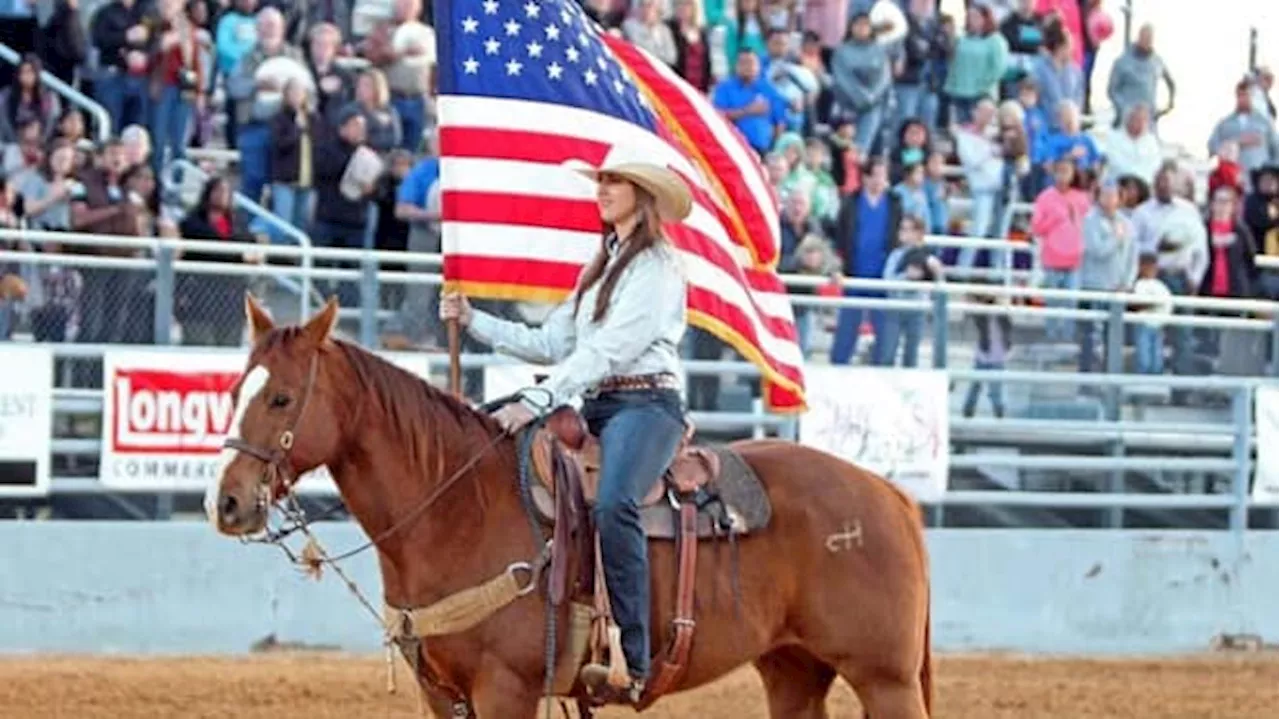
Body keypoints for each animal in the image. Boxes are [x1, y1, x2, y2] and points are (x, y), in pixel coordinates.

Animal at [207, 294, 931, 711]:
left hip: (884, 676)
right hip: (793, 669)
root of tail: (889, 494)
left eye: (282, 397)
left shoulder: (506, 687)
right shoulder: (441, 691)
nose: (227, 501)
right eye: (237, 387)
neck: (456, 509)